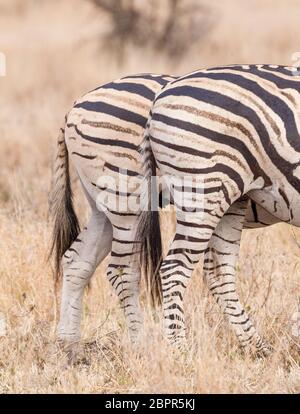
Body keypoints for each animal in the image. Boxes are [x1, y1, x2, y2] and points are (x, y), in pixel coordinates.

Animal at [49, 68, 282, 352]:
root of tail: (76, 106)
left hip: (103, 207)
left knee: (77, 261)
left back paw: (68, 344)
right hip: (128, 199)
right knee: (124, 271)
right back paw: (141, 343)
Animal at [138, 63, 300, 354]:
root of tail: (161, 94)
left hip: (230, 200)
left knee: (218, 271)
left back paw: (256, 348)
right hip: (203, 191)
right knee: (174, 268)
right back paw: (180, 351)